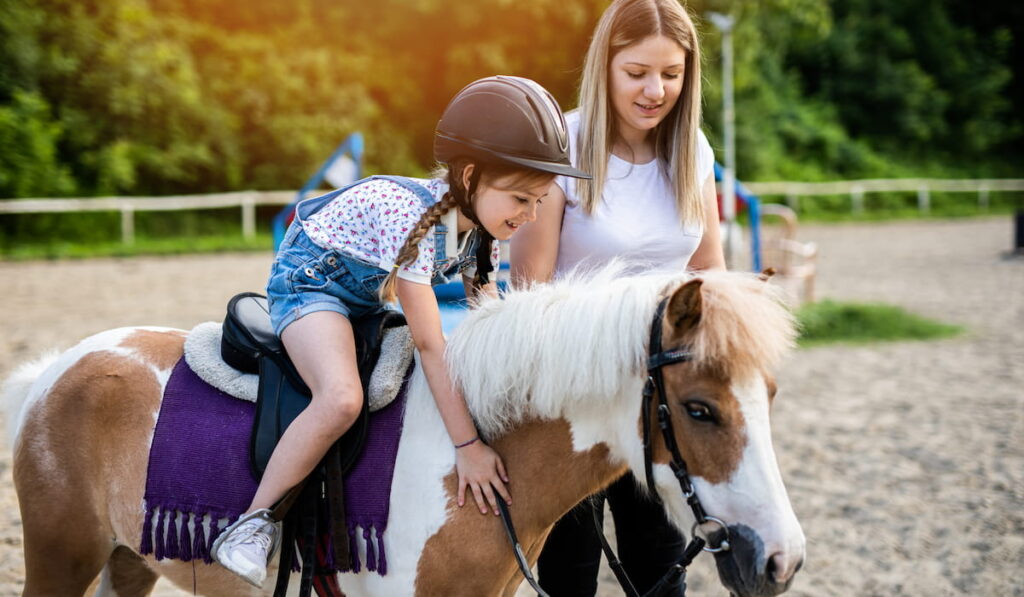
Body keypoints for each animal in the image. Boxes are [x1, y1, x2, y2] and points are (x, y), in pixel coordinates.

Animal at [6, 270, 806, 597]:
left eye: (770, 394)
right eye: (699, 409)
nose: (783, 560)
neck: (478, 464)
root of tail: (55, 373)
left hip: (128, 562)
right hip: (60, 559)